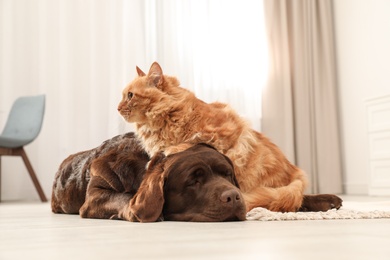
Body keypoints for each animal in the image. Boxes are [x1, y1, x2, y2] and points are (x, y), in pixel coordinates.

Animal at [116, 62, 342, 212]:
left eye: (130, 95)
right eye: (123, 96)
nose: (117, 108)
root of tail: (296, 173)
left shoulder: (227, 131)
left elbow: (190, 141)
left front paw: (171, 148)